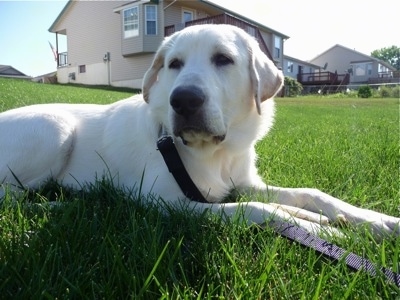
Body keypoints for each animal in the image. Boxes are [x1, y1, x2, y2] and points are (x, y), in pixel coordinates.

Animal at [0, 24, 398, 238]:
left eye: (223, 59)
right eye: (174, 64)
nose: (183, 100)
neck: (215, 153)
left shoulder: (244, 182)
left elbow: (311, 194)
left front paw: (375, 221)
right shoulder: (169, 203)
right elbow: (258, 209)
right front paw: (323, 231)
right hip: (55, 128)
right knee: (10, 197)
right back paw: (67, 203)